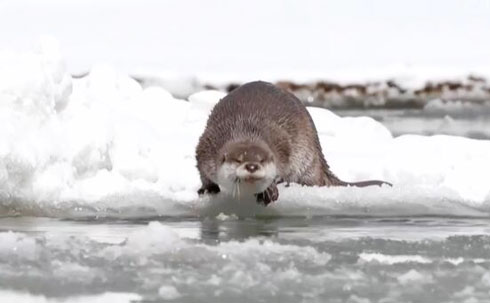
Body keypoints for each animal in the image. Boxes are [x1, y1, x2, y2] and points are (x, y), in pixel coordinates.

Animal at [195, 81, 390, 205]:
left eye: (262, 160)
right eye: (238, 160)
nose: (252, 166)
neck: (244, 129)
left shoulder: (281, 143)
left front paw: (269, 190)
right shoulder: (206, 145)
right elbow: (203, 171)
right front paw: (207, 189)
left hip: (307, 156)